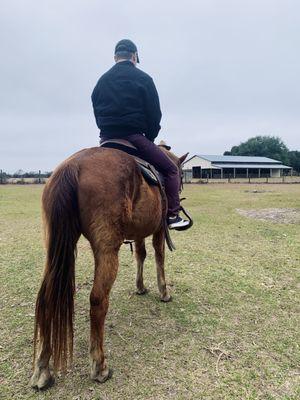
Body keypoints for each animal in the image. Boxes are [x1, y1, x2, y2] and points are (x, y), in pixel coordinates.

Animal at [29, 145, 188, 390]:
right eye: (179, 173)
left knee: (47, 298)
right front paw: (164, 292)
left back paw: (42, 368)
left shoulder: (139, 232)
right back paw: (99, 365)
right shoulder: (158, 230)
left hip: (54, 249)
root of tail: (72, 165)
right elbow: (159, 257)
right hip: (106, 249)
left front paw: (140, 287)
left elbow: (140, 255)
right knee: (97, 299)